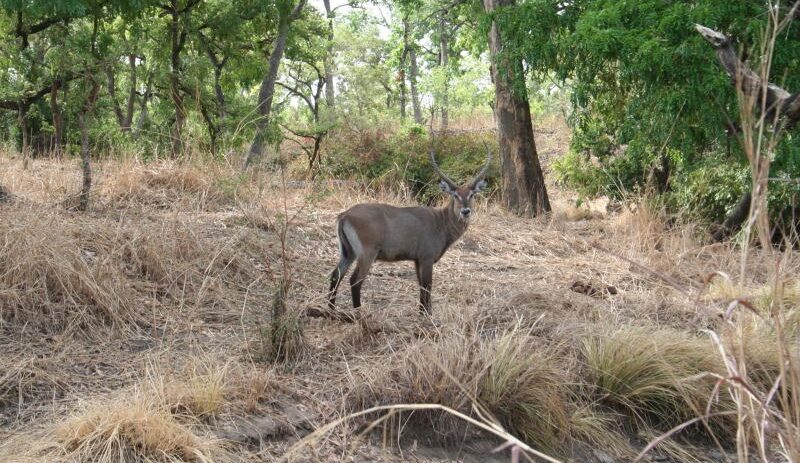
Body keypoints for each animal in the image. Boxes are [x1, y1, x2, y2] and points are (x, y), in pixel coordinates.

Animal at [326, 141, 490, 316]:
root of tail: (345, 214)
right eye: (455, 195)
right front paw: (427, 315)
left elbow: (421, 286)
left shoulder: (417, 260)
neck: (441, 222)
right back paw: (359, 313)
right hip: (366, 254)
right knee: (355, 280)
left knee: (336, 275)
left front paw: (422, 312)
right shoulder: (426, 258)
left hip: (348, 252)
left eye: (472, 194)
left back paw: (331, 310)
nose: (465, 211)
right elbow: (427, 286)